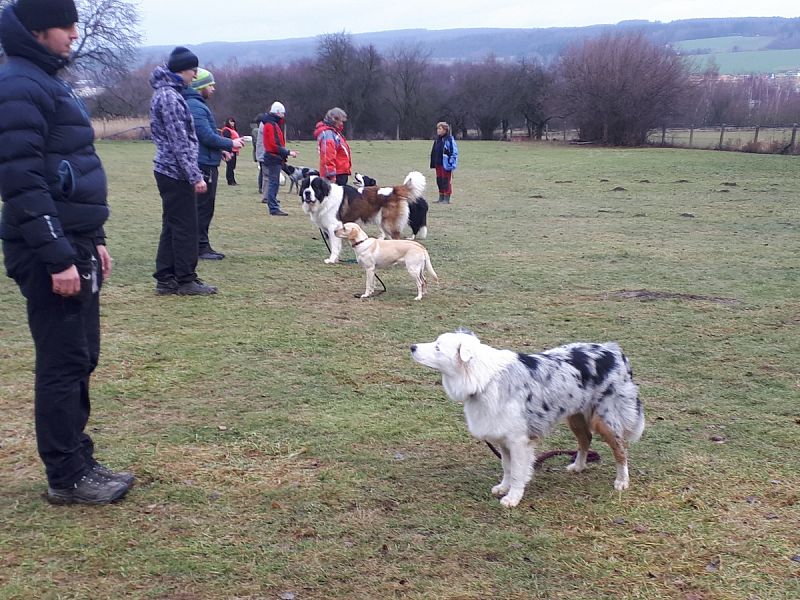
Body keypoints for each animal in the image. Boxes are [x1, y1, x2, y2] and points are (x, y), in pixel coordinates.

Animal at [412, 330, 644, 508]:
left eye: (438, 347)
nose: (412, 347)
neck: (483, 378)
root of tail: (614, 351)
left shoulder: (518, 441)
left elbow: (517, 471)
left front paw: (513, 497)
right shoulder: (502, 437)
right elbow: (506, 467)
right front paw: (503, 487)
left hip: (606, 420)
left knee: (620, 450)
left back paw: (622, 481)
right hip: (575, 415)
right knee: (586, 439)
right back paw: (578, 466)